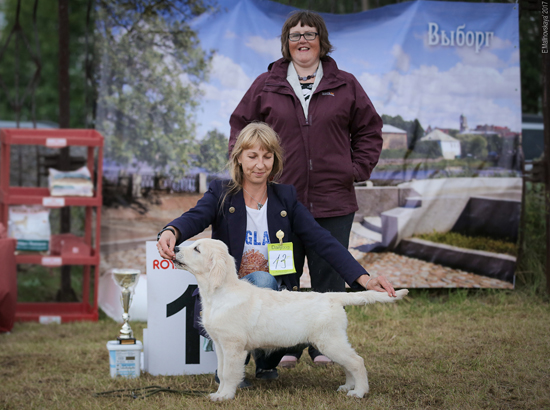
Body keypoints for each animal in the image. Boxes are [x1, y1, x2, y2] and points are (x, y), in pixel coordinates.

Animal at [174, 237, 410, 400]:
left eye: (197, 249)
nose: (174, 248)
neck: (220, 292)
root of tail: (333, 296)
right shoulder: (221, 345)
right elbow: (222, 372)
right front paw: (219, 394)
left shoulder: (234, 346)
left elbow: (230, 373)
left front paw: (225, 396)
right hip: (334, 341)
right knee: (349, 363)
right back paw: (348, 387)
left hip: (329, 341)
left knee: (357, 361)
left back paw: (359, 392)